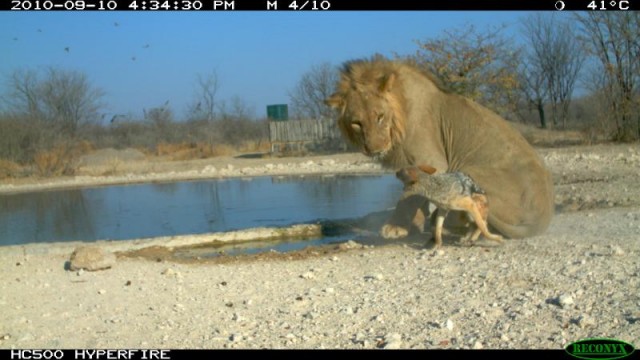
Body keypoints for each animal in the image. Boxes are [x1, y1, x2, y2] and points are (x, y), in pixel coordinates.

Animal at [324, 57, 556, 240]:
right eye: (356, 123)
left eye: (380, 116)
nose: (375, 148)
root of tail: (543, 218)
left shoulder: (432, 160)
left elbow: (410, 195)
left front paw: (396, 227)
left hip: (468, 171)